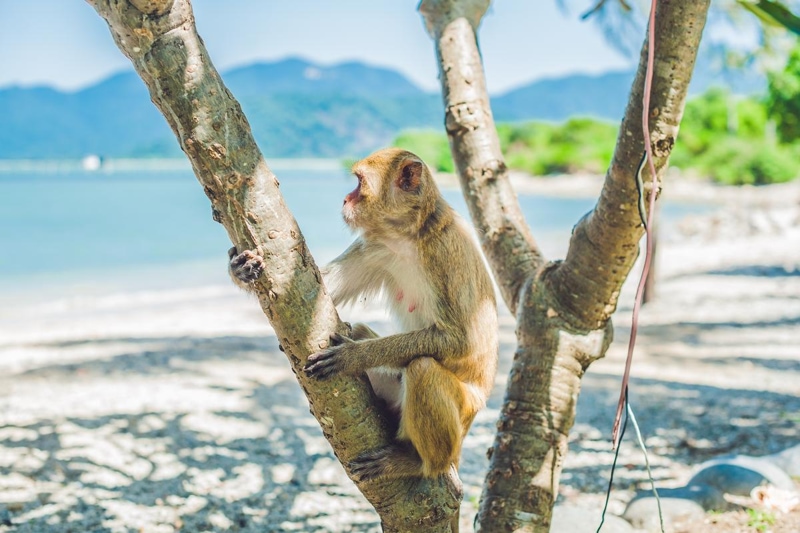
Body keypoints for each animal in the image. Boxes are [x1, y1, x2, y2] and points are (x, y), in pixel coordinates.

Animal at [229, 148, 498, 481]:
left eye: (359, 183)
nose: (345, 199)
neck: (408, 235)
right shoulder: (375, 246)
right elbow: (317, 288)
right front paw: (240, 268)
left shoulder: (444, 252)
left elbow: (460, 340)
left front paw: (353, 356)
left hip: (464, 414)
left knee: (422, 368)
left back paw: (419, 463)